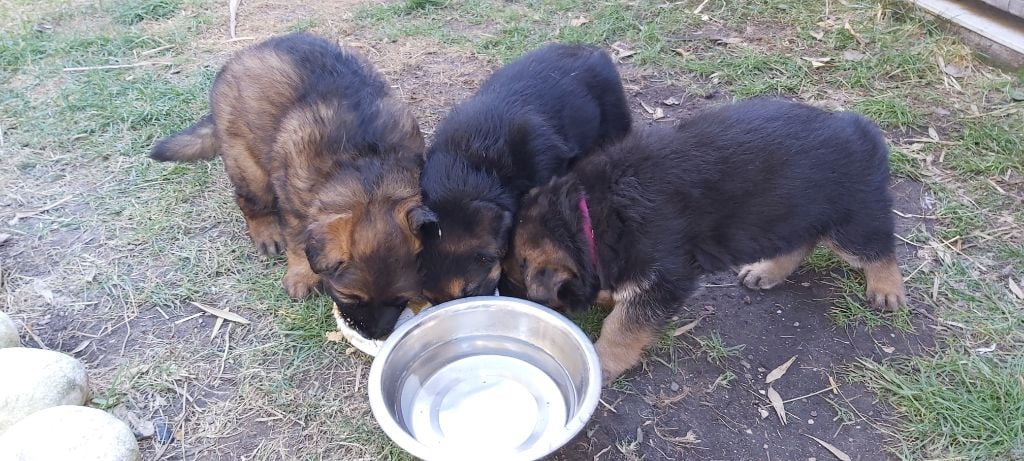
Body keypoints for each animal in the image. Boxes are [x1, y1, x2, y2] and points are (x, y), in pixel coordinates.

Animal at [149, 34, 430, 338]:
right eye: (350, 297)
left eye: (402, 299)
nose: (373, 335)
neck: (369, 174)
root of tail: (243, 55)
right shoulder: (294, 205)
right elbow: (297, 243)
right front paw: (301, 276)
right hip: (249, 165)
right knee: (249, 202)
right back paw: (266, 233)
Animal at [509, 98, 905, 381]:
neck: (587, 215)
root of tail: (857, 129)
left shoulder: (664, 278)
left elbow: (623, 327)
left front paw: (604, 361)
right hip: (788, 215)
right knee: (800, 244)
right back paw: (767, 271)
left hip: (848, 221)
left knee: (878, 247)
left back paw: (887, 288)